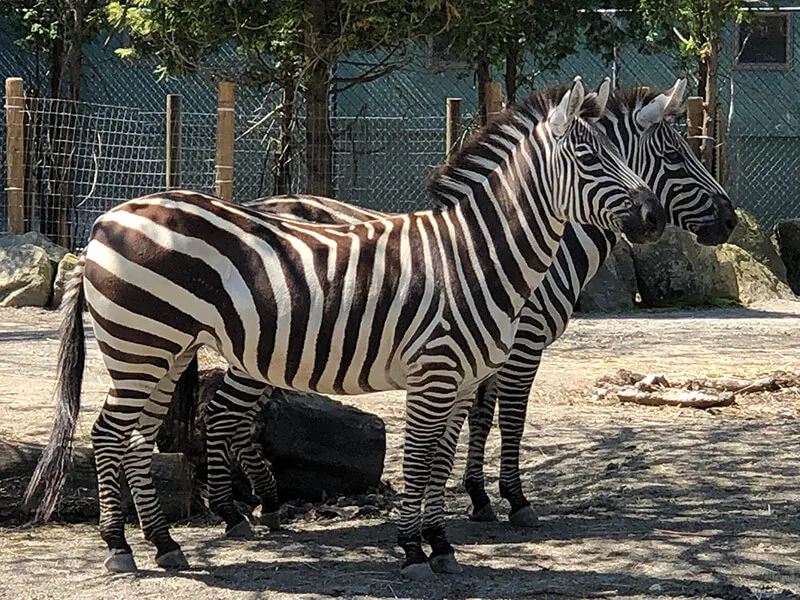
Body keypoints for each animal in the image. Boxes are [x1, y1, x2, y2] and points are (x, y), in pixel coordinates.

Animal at [23, 77, 664, 580]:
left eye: (628, 155)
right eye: (589, 158)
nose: (654, 217)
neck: (475, 256)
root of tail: (106, 221)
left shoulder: (460, 382)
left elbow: (440, 460)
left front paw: (441, 545)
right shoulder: (435, 372)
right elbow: (420, 459)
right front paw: (412, 550)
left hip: (167, 349)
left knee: (133, 438)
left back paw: (163, 543)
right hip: (141, 342)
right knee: (108, 433)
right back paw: (119, 547)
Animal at [234, 77, 736, 528]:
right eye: (674, 155)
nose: (731, 220)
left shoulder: (488, 346)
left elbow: (478, 416)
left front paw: (476, 497)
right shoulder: (521, 343)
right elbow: (509, 418)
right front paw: (513, 499)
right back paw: (251, 506)